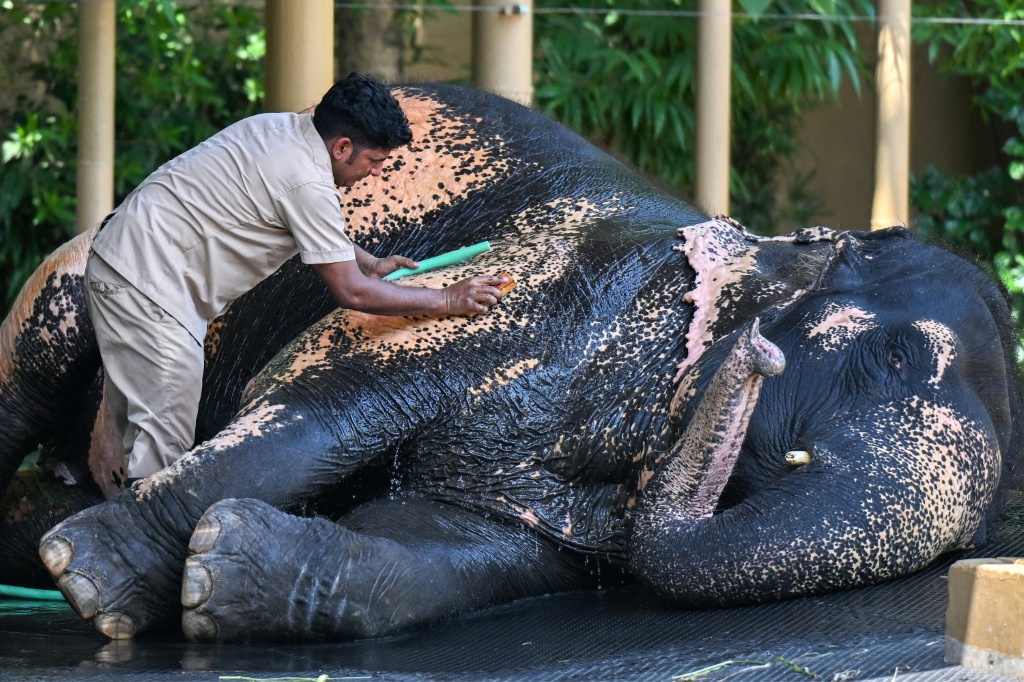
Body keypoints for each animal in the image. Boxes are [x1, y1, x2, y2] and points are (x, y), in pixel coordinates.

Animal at [0, 84, 1021, 642]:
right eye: (895, 353)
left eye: (967, 549)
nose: (760, 355)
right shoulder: (546, 280)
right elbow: (324, 406)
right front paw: (90, 579)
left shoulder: (568, 523)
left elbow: (453, 552)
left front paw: (221, 574)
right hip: (86, 275)